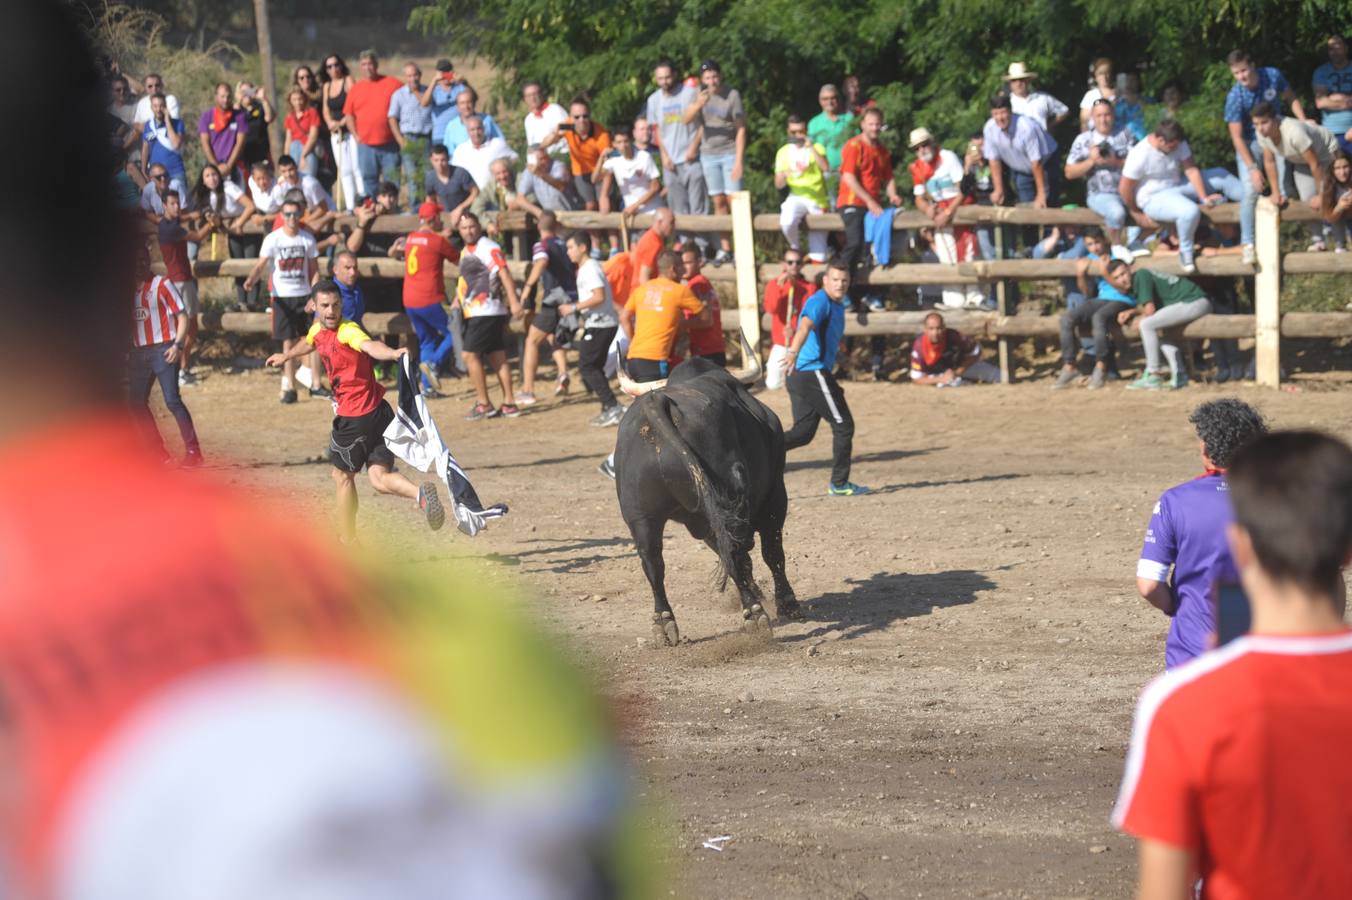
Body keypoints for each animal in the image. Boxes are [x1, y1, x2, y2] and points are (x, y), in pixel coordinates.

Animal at [616, 354, 800, 640]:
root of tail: (658, 402)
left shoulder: (701, 523)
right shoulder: (775, 495)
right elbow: (772, 553)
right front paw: (787, 603)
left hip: (641, 517)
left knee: (653, 562)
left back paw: (664, 622)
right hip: (730, 503)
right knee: (736, 554)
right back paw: (754, 614)